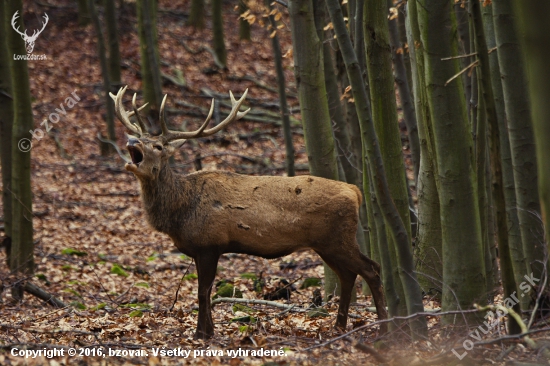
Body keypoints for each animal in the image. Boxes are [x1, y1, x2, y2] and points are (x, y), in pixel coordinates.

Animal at [111, 86, 388, 340]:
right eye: (139, 138)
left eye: (158, 146)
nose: (132, 141)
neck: (180, 210)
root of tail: (355, 191)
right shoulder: (204, 249)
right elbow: (205, 292)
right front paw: (207, 331)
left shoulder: (209, 244)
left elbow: (203, 292)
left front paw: (202, 334)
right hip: (326, 244)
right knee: (348, 275)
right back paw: (339, 327)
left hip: (337, 238)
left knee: (371, 269)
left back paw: (385, 328)